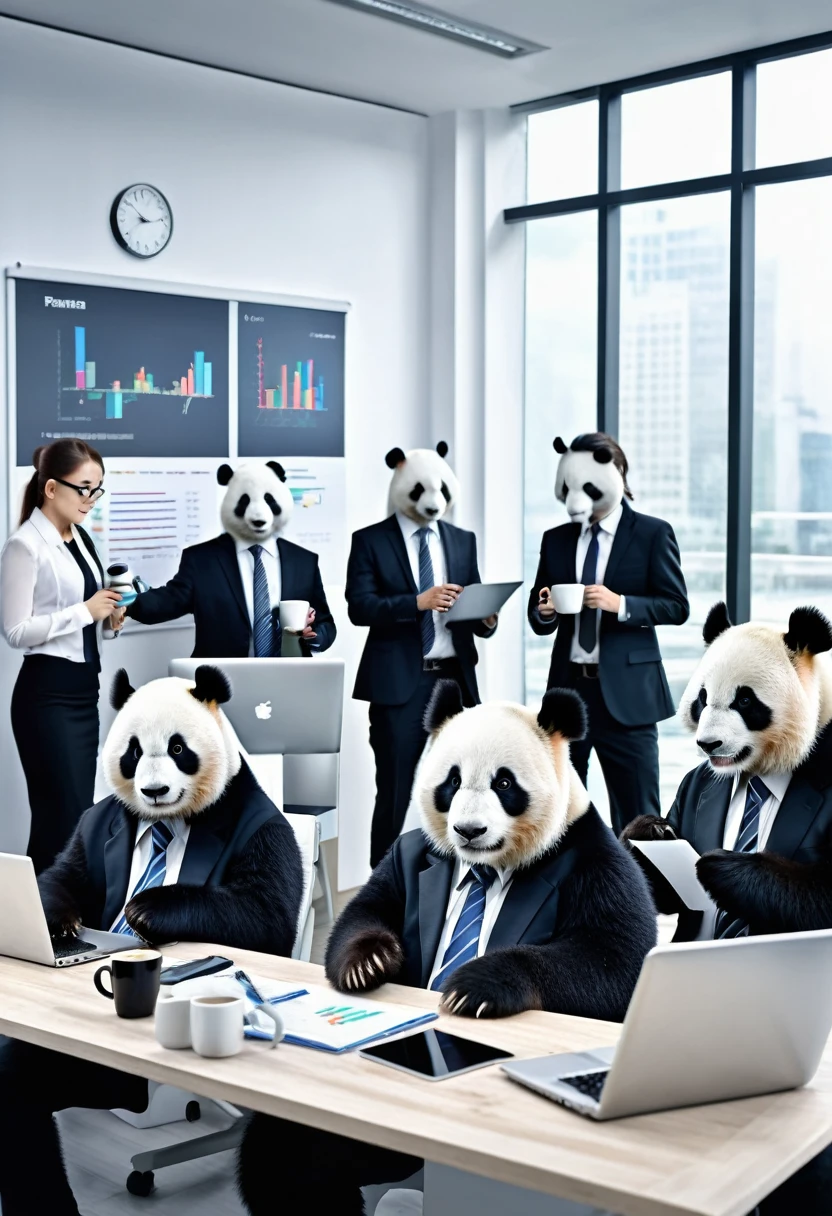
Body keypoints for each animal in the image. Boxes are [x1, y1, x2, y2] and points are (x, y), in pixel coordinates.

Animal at [36, 666, 301, 948]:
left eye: (177, 748)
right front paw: (61, 922)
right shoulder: (88, 829)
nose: (154, 791)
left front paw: (143, 910)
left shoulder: (264, 834)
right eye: (135, 752)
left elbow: (263, 910)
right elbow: (63, 876)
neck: (167, 816)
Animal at [237, 680, 661, 1211]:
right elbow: (368, 909)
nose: (468, 831)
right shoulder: (411, 856)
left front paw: (472, 987)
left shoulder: (592, 861)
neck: (487, 866)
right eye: (452, 781)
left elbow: (614, 963)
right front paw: (368, 964)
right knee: (287, 1157)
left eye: (505, 784)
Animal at [622, 605, 832, 938]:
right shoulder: (691, 788)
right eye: (703, 699)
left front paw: (720, 866)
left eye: (745, 700)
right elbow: (658, 893)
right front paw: (650, 830)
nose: (709, 744)